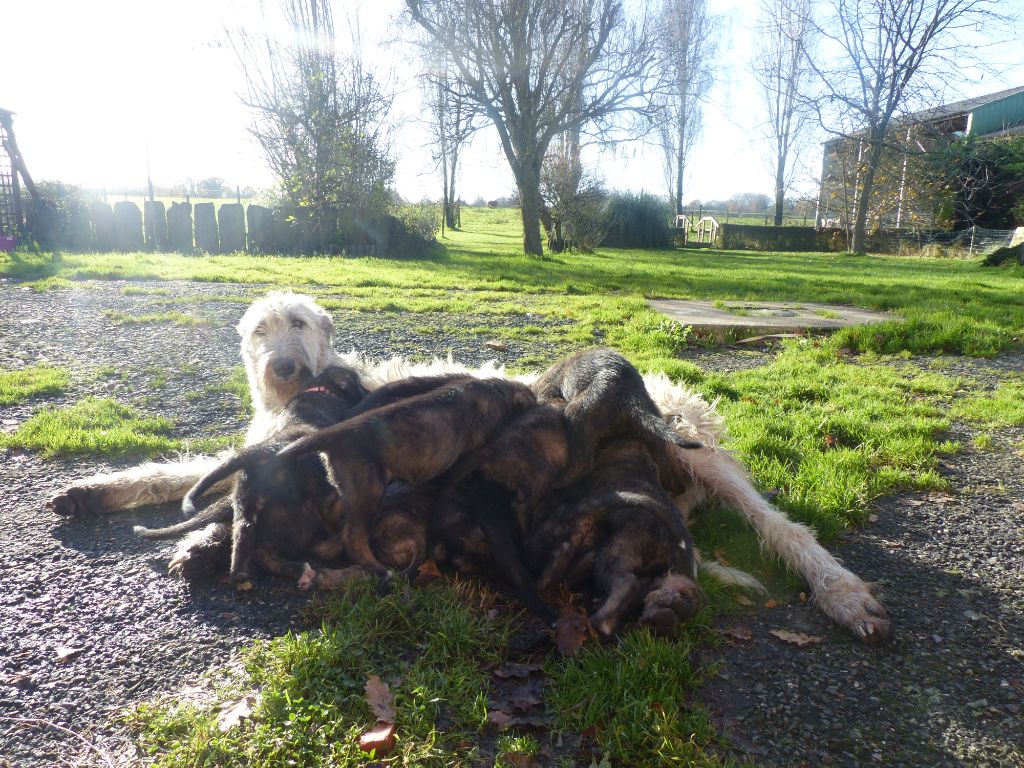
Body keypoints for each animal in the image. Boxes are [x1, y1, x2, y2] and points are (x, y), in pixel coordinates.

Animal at [276, 376, 540, 581]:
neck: (497, 391)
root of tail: (332, 438)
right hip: (368, 489)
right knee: (352, 538)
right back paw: (380, 571)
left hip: (349, 489)